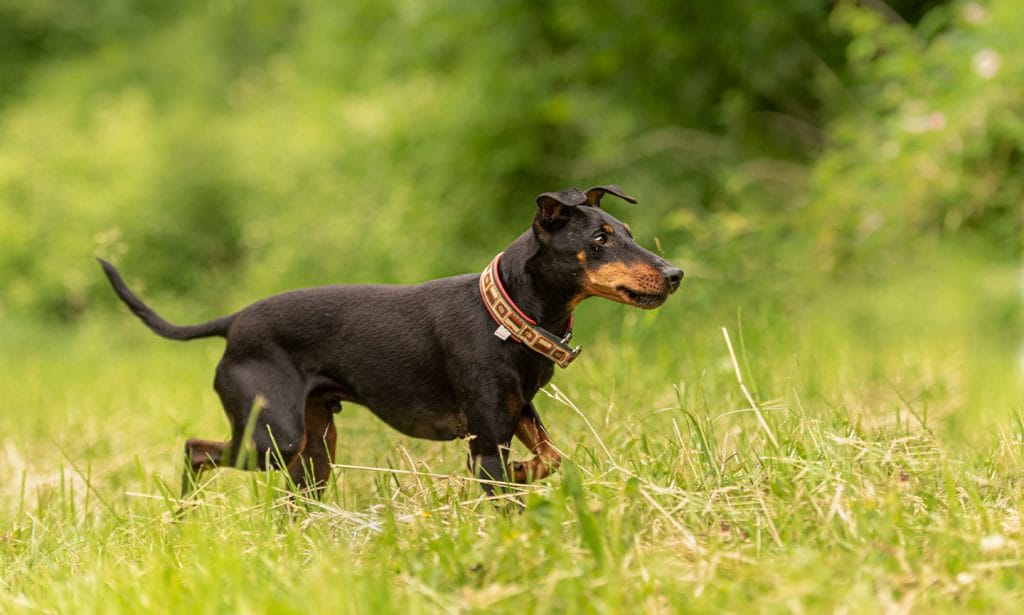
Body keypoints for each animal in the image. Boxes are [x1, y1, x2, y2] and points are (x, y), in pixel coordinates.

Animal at [99, 186, 684, 499]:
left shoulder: (517, 412)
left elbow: (551, 458)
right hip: (273, 439)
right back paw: (183, 515)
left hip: (314, 449)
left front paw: (526, 471)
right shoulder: (485, 443)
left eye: (628, 231)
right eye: (600, 239)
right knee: (195, 450)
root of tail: (233, 321)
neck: (506, 315)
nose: (675, 273)